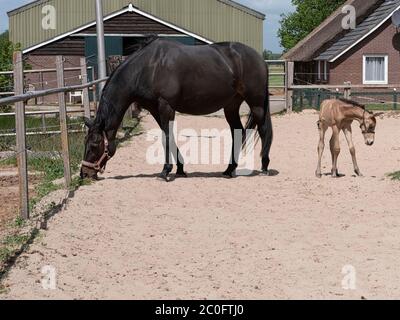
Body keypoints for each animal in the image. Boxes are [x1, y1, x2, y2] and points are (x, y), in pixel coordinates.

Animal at [79, 38, 272, 180]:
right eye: (85, 142)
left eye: (95, 144)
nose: (84, 173)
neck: (148, 67)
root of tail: (259, 58)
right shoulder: (155, 109)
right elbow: (168, 136)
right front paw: (179, 169)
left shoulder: (166, 107)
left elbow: (166, 138)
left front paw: (165, 171)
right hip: (231, 106)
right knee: (238, 132)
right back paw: (229, 170)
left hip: (256, 103)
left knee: (263, 131)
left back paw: (264, 167)